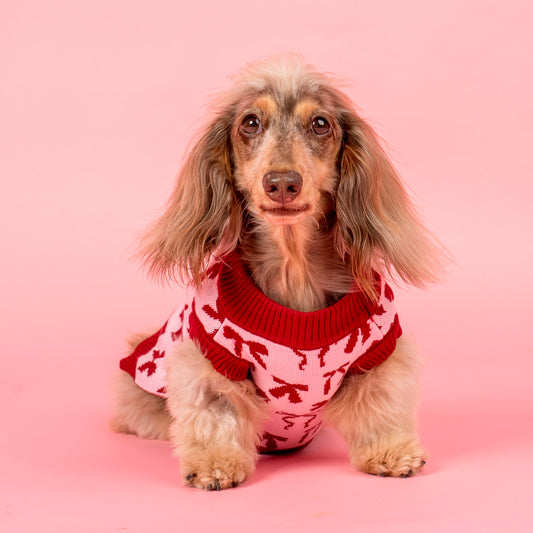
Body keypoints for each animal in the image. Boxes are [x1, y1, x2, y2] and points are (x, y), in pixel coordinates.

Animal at [111, 57, 443, 491]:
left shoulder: (378, 353)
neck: (294, 272)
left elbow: (381, 407)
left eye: (320, 124)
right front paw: (215, 464)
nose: (282, 183)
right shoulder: (210, 362)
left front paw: (390, 451)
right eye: (250, 123)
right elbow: (216, 415)